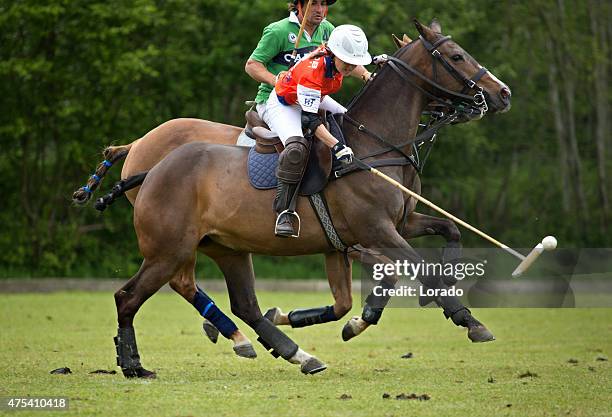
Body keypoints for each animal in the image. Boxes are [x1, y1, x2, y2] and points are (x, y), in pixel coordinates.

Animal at [106, 19, 512, 376]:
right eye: (457, 56)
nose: (502, 94)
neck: (375, 146)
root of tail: (149, 167)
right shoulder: (377, 230)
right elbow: (418, 269)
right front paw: (469, 320)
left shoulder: (397, 224)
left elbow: (449, 231)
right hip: (168, 249)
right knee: (130, 296)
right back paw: (134, 364)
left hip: (225, 248)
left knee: (244, 304)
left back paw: (293, 353)